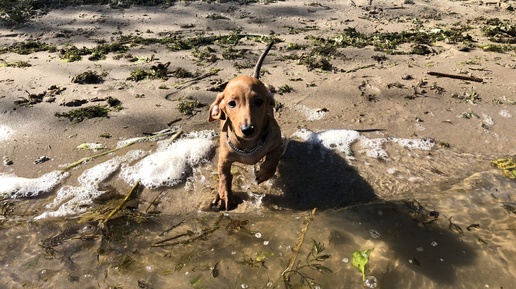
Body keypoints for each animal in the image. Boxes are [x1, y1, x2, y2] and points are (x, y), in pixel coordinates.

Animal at [209, 42, 282, 209]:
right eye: (231, 103)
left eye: (259, 101)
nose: (248, 130)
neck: (249, 147)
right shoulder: (223, 159)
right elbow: (224, 176)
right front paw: (224, 195)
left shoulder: (277, 143)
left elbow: (272, 160)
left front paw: (263, 173)